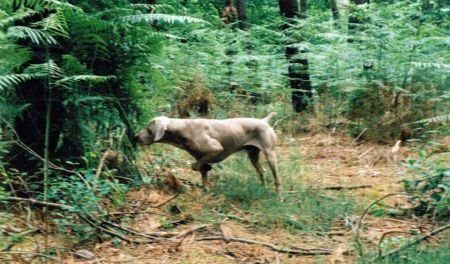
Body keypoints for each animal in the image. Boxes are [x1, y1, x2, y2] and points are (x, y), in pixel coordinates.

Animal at [134, 112, 282, 193]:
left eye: (149, 130)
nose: (135, 137)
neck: (183, 129)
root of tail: (264, 120)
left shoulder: (216, 149)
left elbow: (195, 166)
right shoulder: (199, 156)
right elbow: (202, 171)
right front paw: (205, 190)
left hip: (270, 154)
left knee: (277, 178)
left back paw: (278, 196)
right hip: (253, 155)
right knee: (262, 172)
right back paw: (263, 188)